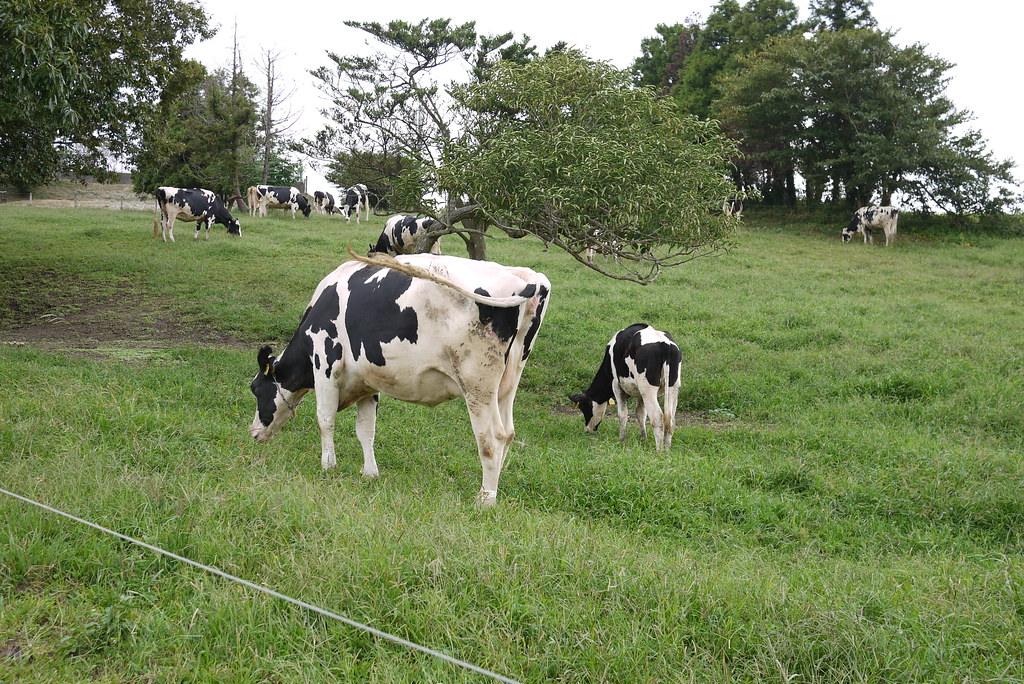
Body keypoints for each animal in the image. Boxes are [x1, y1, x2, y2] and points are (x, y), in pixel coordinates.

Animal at [248, 250, 552, 507]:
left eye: (255, 389)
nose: (253, 433)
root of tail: (528, 278)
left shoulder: (325, 361)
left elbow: (325, 419)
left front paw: (328, 466)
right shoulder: (368, 380)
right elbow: (366, 429)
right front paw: (369, 472)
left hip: (477, 382)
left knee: (492, 438)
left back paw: (486, 498)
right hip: (507, 383)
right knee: (508, 433)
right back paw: (494, 490)